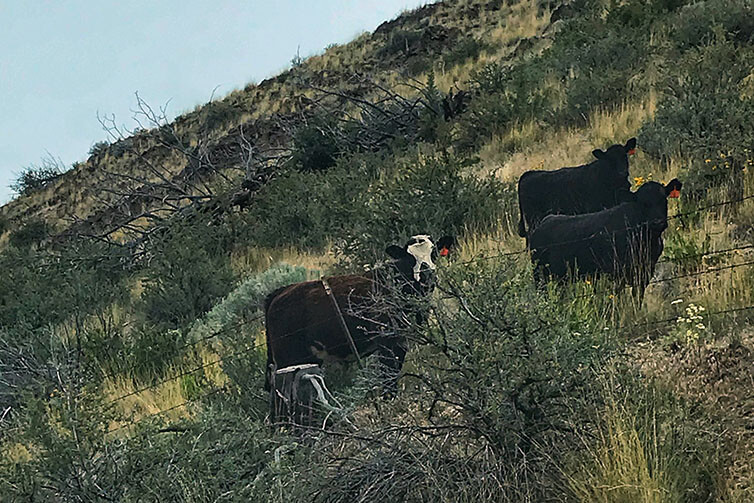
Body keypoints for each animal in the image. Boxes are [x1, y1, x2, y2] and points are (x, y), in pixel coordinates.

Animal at [264, 234, 452, 396]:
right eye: (410, 259)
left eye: (434, 253)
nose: (427, 275)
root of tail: (280, 292)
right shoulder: (386, 342)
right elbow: (388, 376)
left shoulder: (402, 342)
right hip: (289, 358)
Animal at [528, 178, 680, 304]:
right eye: (643, 204)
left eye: (664, 200)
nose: (657, 222)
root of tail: (546, 221)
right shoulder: (617, 273)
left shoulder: (645, 272)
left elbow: (637, 298)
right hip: (539, 275)